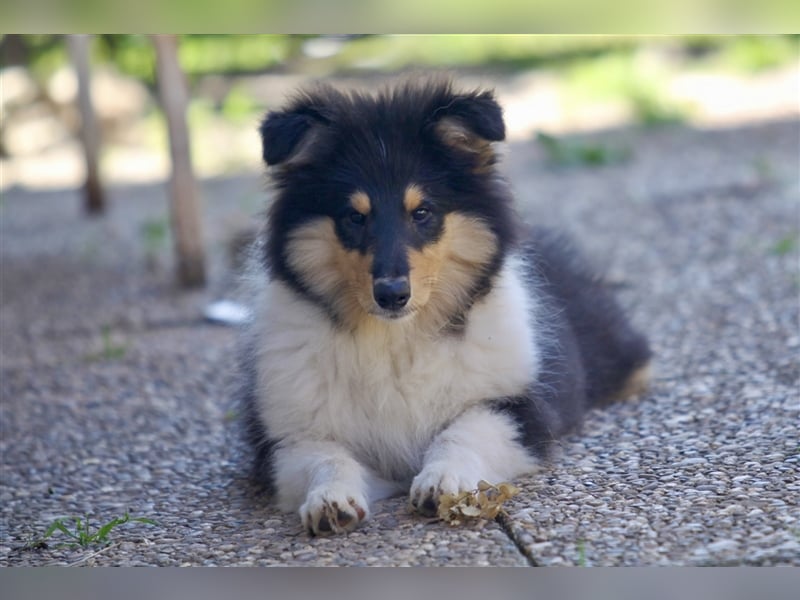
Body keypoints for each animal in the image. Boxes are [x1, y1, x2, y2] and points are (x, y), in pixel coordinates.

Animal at [238, 78, 648, 536]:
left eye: (422, 211)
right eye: (353, 216)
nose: (392, 294)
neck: (395, 339)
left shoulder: (520, 408)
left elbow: (464, 430)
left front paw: (444, 481)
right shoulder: (285, 438)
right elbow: (325, 456)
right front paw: (330, 501)